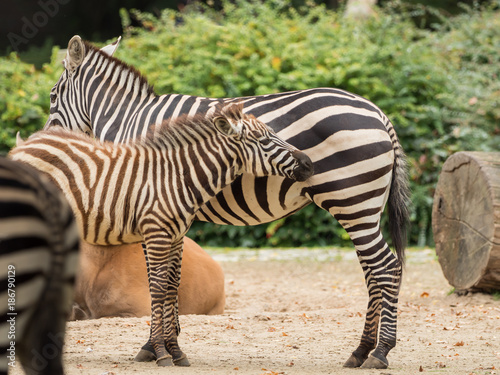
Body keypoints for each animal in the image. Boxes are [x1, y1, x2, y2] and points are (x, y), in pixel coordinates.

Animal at [10, 103, 312, 368]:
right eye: (263, 139)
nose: (309, 163)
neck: (177, 178)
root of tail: (20, 148)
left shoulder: (176, 236)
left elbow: (170, 288)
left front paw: (175, 351)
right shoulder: (156, 233)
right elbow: (157, 288)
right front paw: (160, 352)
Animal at [43, 35, 410, 370]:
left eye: (52, 96)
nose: (46, 138)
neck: (129, 119)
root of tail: (378, 112)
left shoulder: (153, 207)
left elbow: (157, 278)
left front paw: (152, 347)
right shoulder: (172, 212)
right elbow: (173, 278)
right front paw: (171, 346)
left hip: (352, 201)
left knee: (386, 268)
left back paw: (380, 352)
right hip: (364, 208)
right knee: (374, 271)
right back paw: (361, 351)